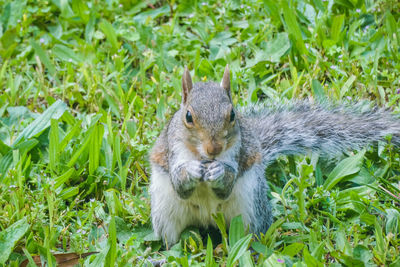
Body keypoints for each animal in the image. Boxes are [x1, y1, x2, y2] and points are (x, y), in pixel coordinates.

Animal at [148, 66, 400, 246]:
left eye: (232, 115)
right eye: (188, 116)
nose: (214, 149)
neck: (202, 157)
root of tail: (208, 221)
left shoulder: (238, 152)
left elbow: (226, 186)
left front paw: (220, 172)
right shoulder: (173, 149)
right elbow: (180, 185)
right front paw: (191, 170)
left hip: (251, 206)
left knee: (250, 237)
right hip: (165, 211)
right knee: (172, 242)